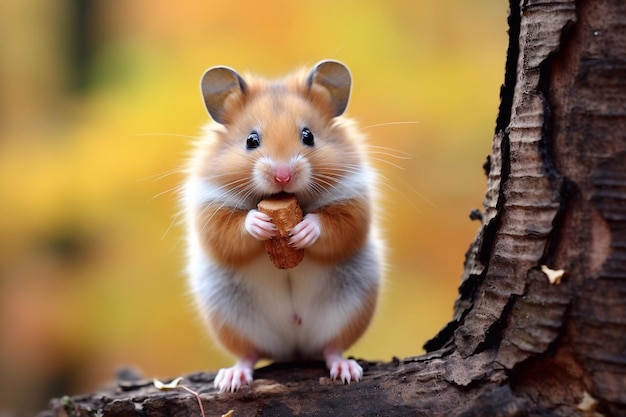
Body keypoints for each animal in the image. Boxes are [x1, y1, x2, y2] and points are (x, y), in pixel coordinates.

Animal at [183, 60, 382, 392]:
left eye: (308, 135)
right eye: (251, 140)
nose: (282, 175)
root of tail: (293, 348)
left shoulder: (354, 199)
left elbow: (336, 225)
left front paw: (302, 231)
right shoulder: (209, 209)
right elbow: (230, 230)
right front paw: (260, 222)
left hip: (349, 305)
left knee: (332, 348)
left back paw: (346, 371)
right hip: (230, 316)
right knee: (248, 354)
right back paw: (231, 380)